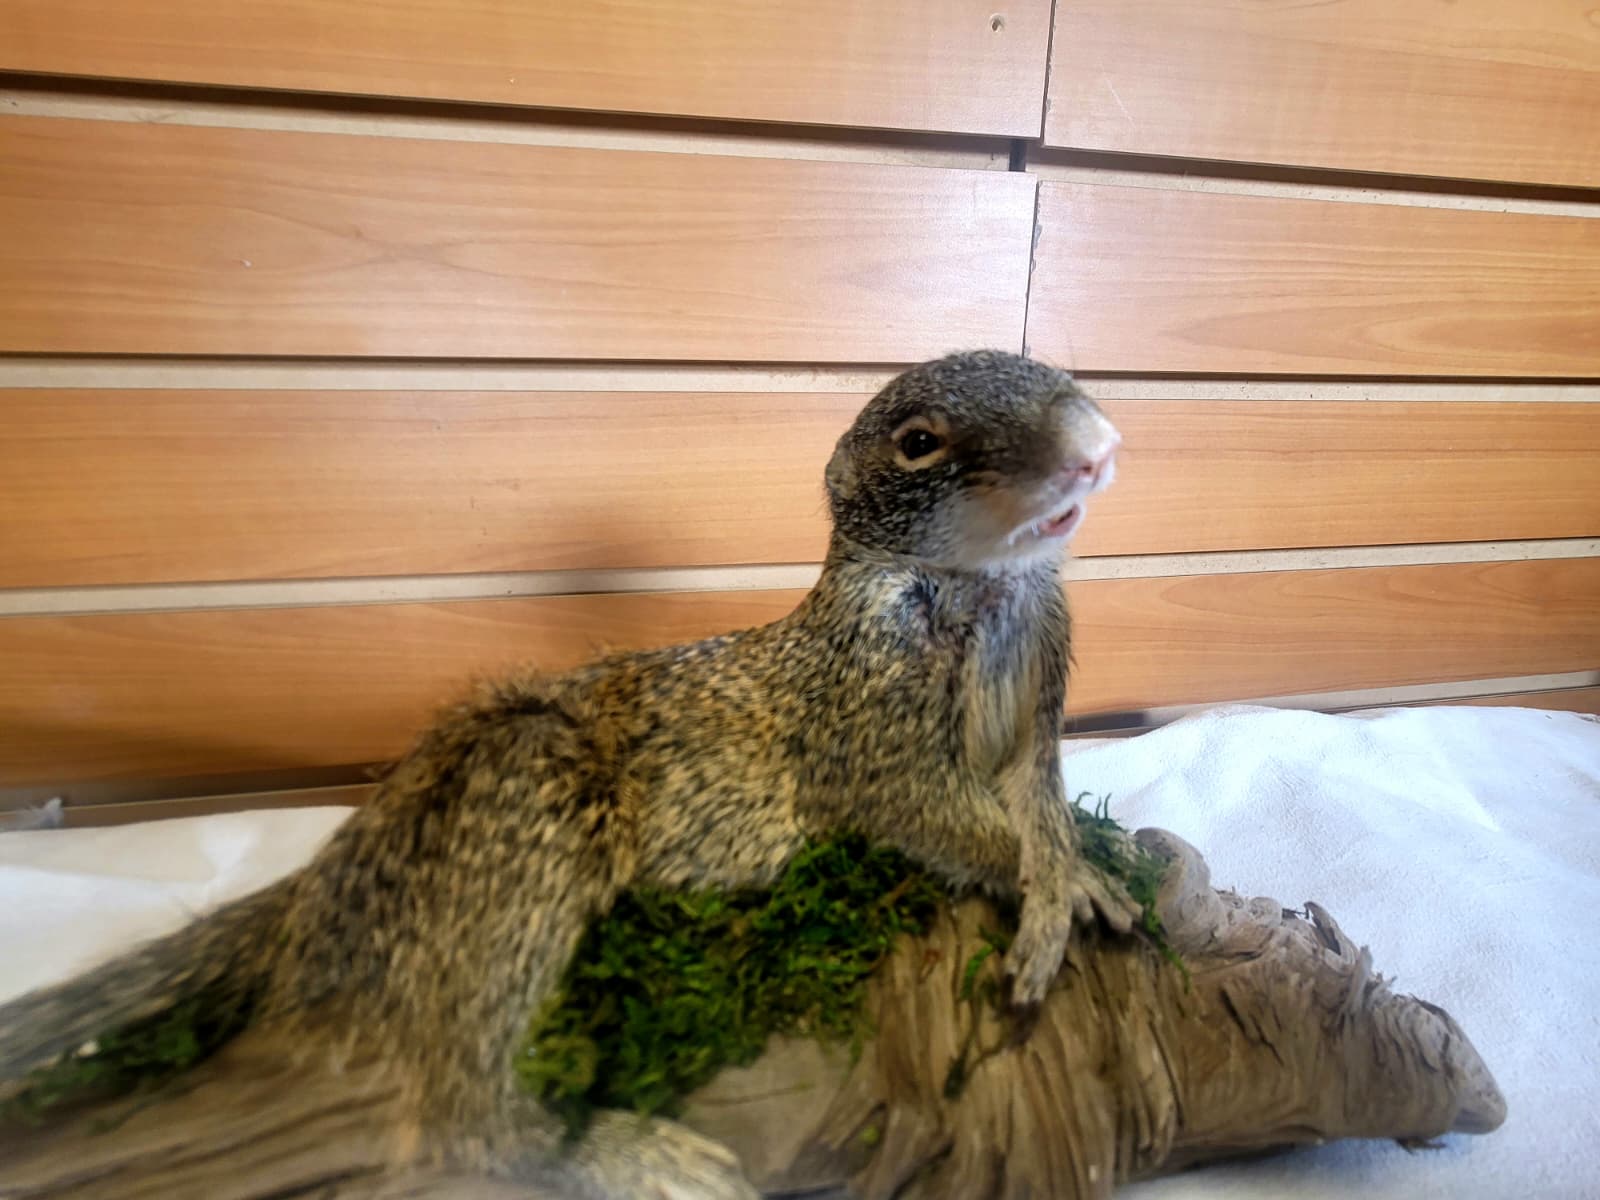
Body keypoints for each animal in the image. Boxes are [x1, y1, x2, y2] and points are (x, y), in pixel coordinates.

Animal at [0, 349, 1136, 1198]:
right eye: (919, 442)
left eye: (1055, 374)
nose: (1095, 445)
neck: (984, 598)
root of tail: (329, 878)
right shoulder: (865, 712)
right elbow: (925, 811)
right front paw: (1060, 891)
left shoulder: (1040, 681)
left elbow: (1039, 795)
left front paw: (1072, 865)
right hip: (523, 799)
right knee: (458, 1115)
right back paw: (612, 1150)